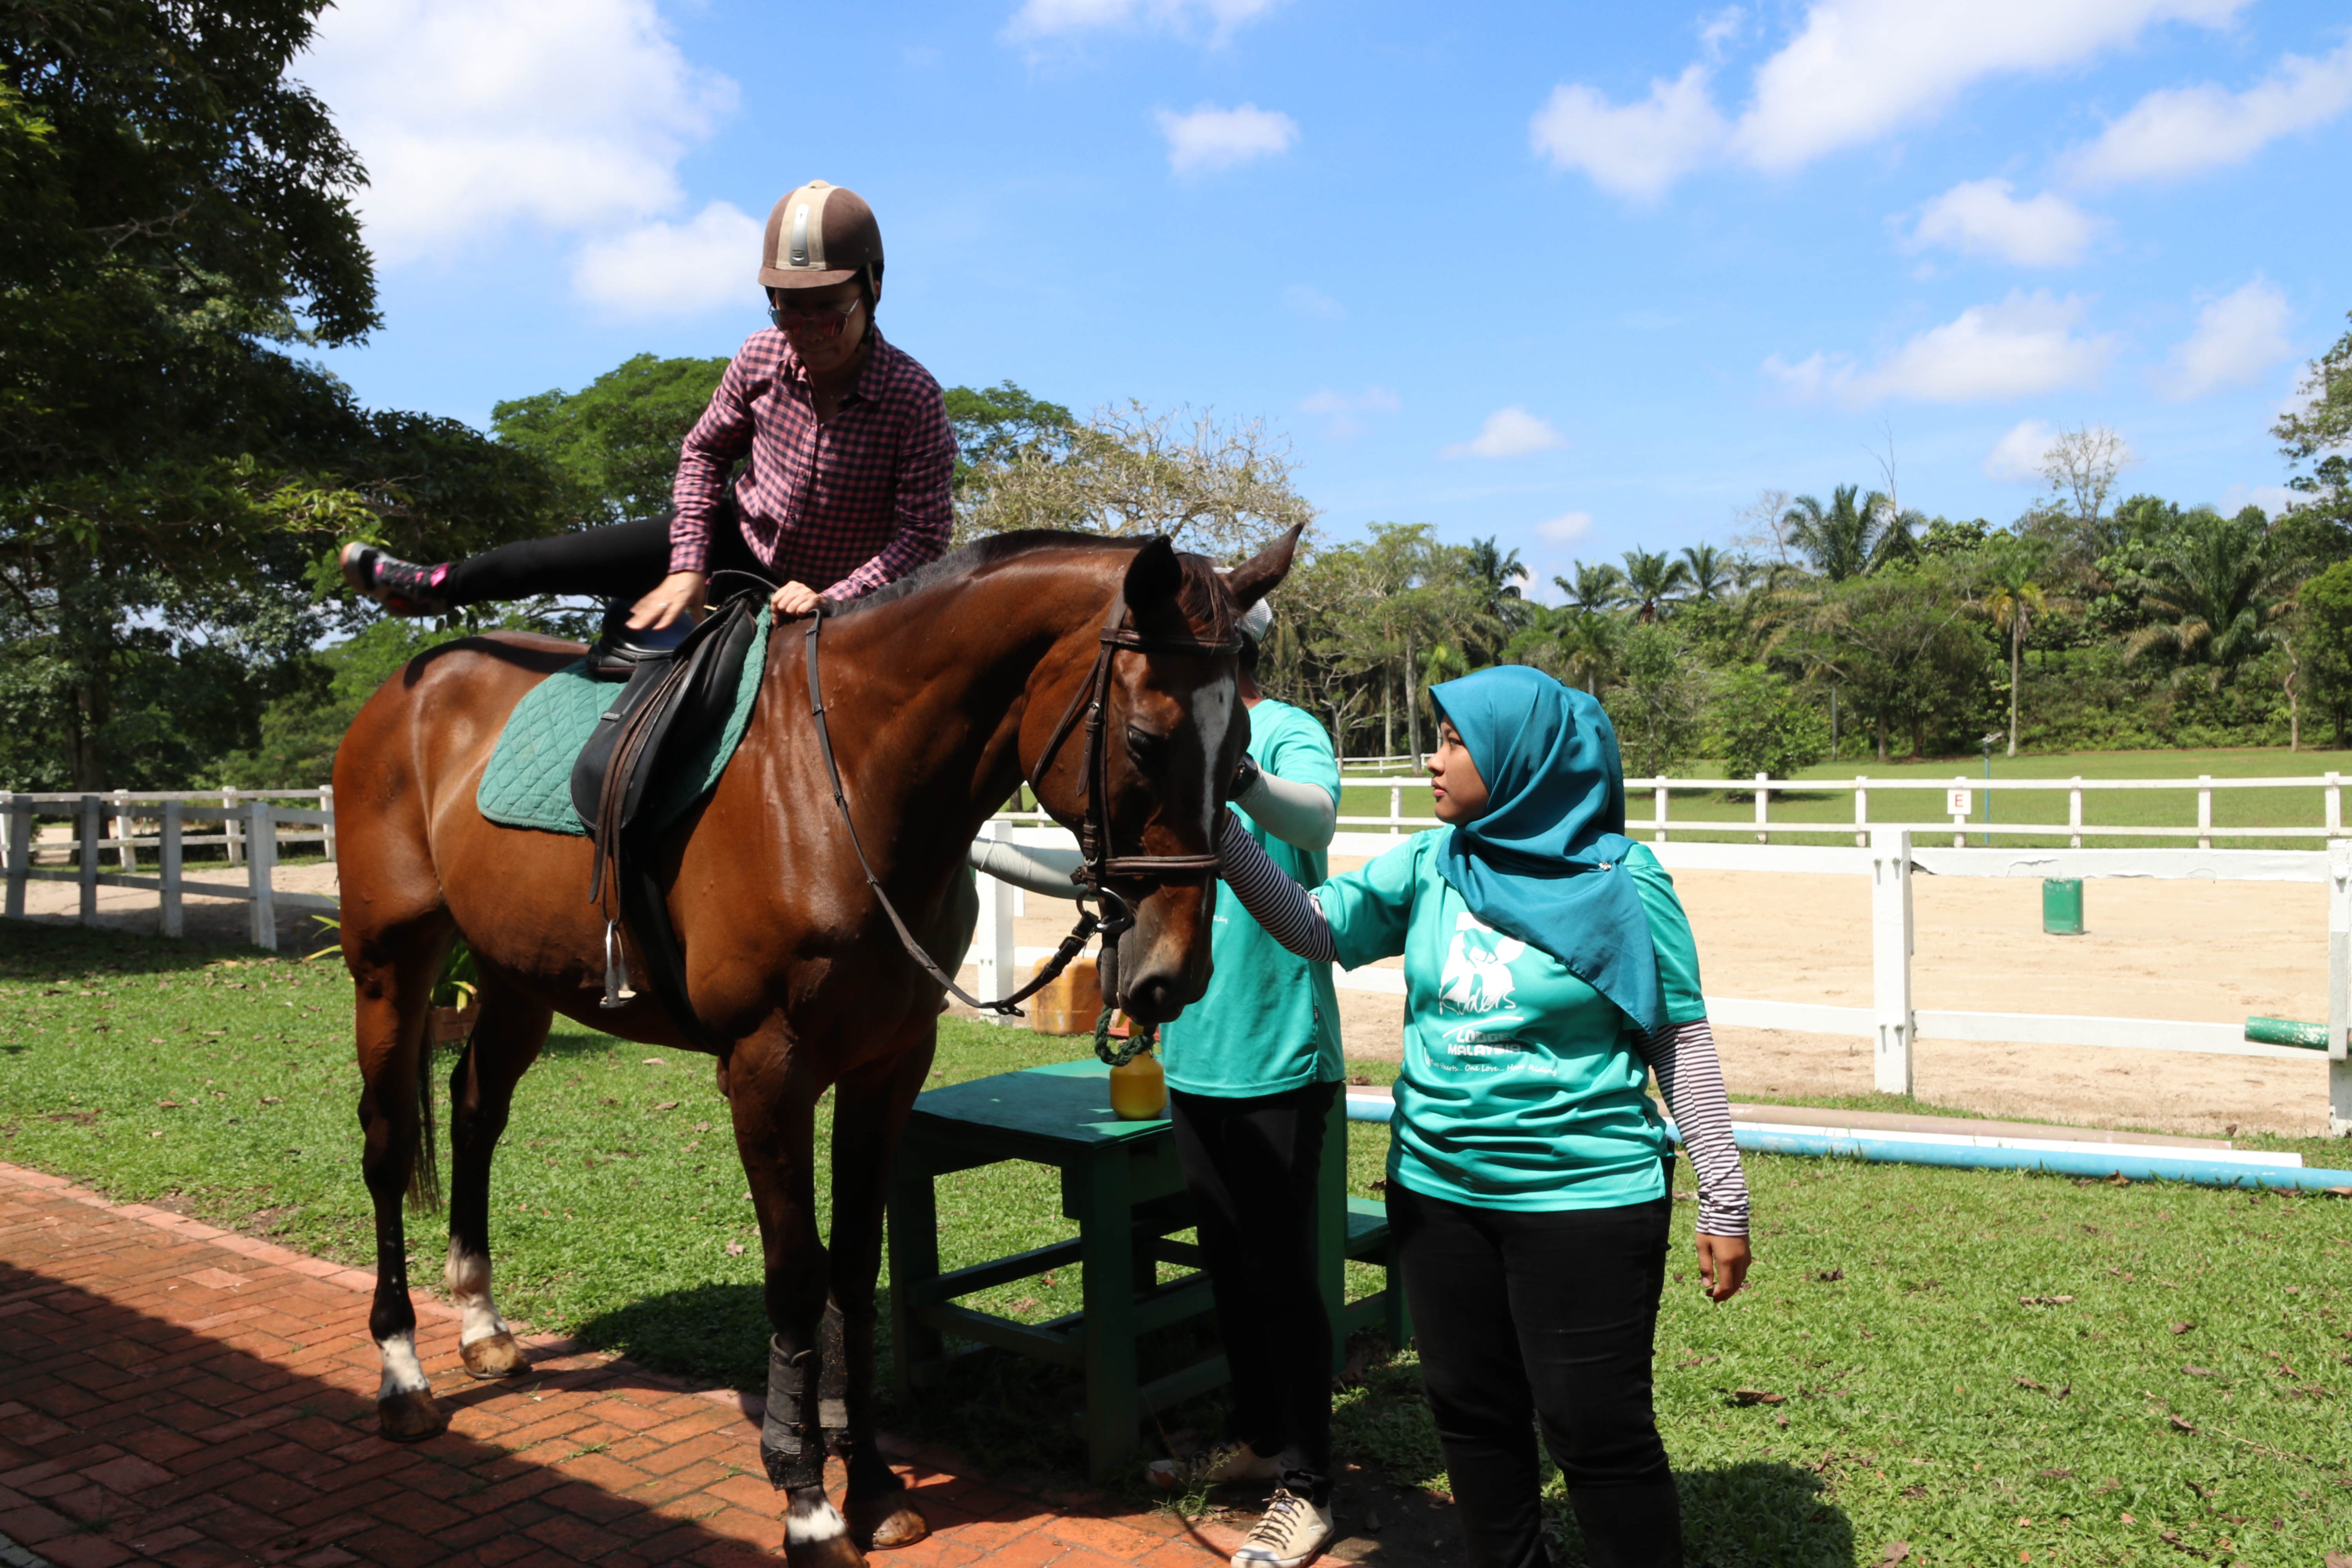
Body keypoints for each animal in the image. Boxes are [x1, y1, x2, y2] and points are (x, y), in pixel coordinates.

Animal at [331, 527, 1298, 1566]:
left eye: (1242, 754)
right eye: (1147, 740)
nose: (1175, 973)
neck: (843, 794)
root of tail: (411, 686)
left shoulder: (887, 1068)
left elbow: (854, 1272)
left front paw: (870, 1482)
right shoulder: (768, 1072)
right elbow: (796, 1278)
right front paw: (807, 1500)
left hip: (516, 976)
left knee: (476, 1111)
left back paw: (480, 1320)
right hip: (390, 963)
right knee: (387, 1143)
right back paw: (402, 1371)